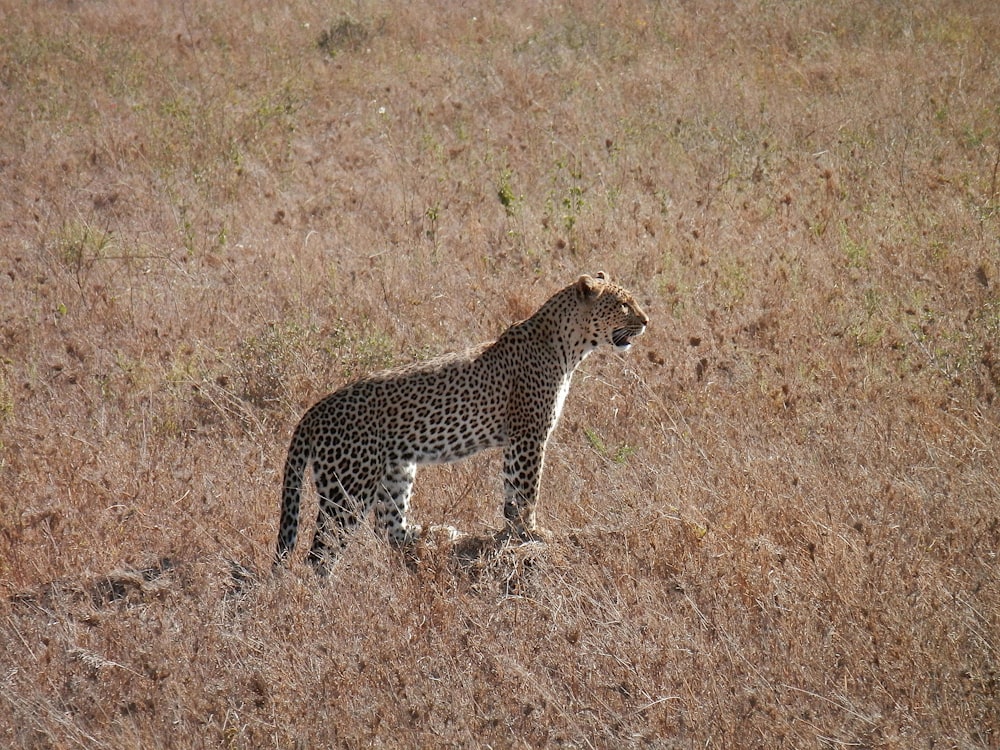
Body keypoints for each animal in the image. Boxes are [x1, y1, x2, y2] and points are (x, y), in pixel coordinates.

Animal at [274, 274, 648, 572]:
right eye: (623, 305)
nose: (646, 321)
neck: (569, 347)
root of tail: (313, 412)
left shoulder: (516, 440)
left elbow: (511, 491)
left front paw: (513, 533)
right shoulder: (528, 434)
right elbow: (527, 489)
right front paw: (533, 532)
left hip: (396, 469)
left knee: (388, 527)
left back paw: (432, 534)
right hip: (348, 487)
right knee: (321, 552)